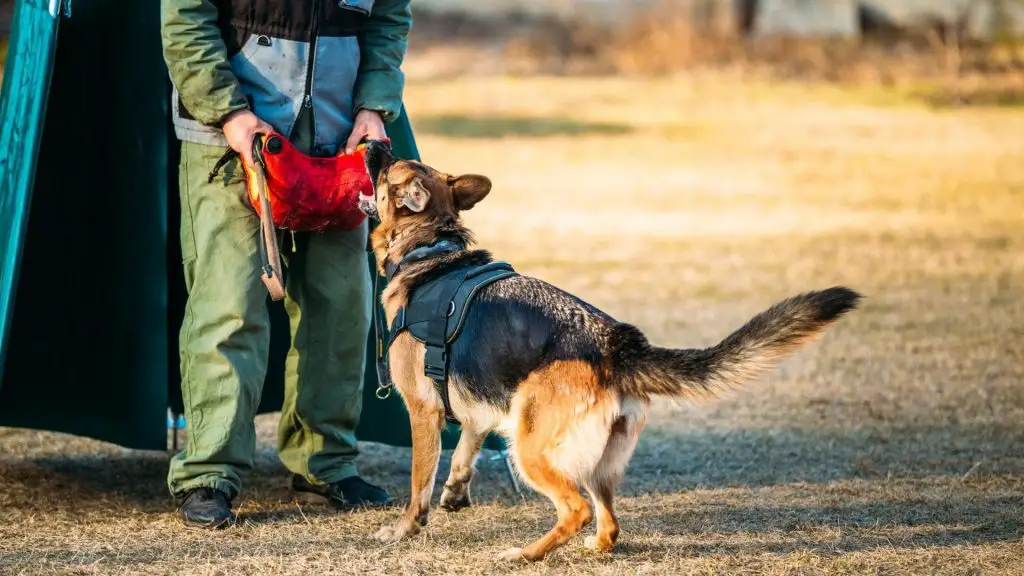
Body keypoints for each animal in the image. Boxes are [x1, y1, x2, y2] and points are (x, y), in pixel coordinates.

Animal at [358, 141, 856, 557]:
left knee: (575, 510)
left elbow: (419, 483)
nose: (373, 140)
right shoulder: (477, 403)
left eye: (389, 167)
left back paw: (525, 554)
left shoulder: (423, 410)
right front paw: (456, 493)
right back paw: (592, 550)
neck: (430, 248)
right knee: (609, 522)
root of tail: (617, 345)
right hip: (596, 462)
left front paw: (403, 529)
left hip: (530, 449)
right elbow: (465, 450)